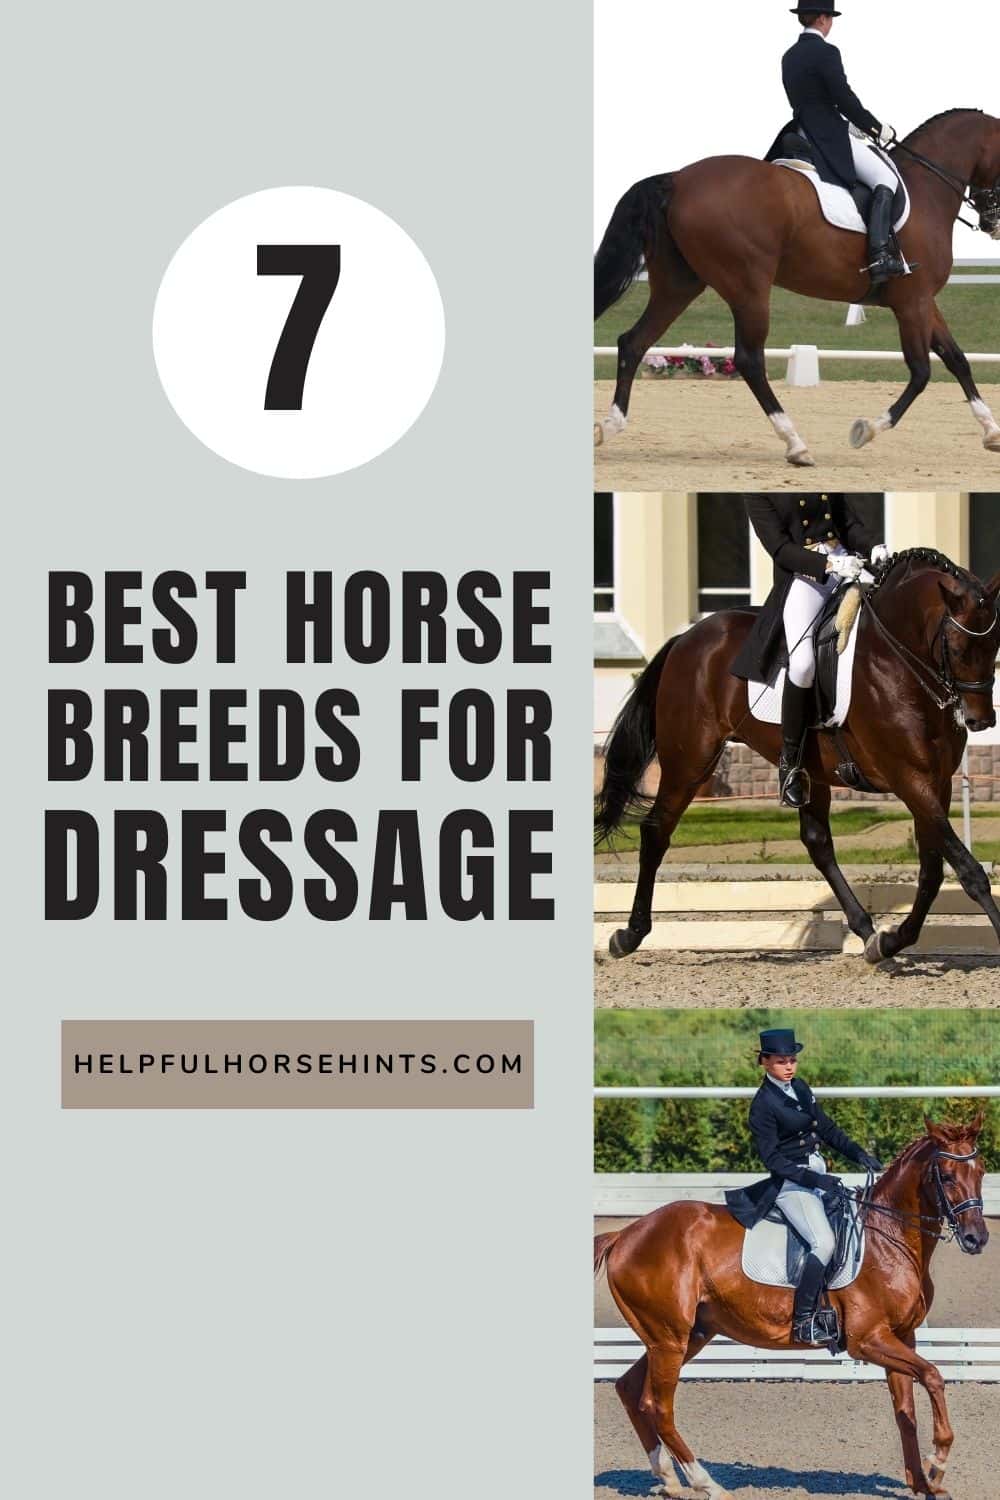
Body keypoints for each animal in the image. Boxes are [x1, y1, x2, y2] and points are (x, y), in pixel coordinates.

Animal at [594, 109, 1000, 466]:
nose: (992, 223)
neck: (927, 190)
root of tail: (677, 178)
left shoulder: (923, 300)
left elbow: (956, 359)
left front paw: (992, 432)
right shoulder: (912, 302)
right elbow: (921, 372)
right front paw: (865, 430)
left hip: (679, 283)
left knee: (634, 341)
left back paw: (609, 427)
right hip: (748, 286)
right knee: (749, 359)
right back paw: (796, 444)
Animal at [594, 548, 1000, 965]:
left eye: (996, 645)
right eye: (959, 648)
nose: (981, 720)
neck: (897, 661)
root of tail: (686, 638)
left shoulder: (937, 782)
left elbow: (932, 871)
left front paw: (890, 941)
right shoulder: (909, 779)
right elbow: (968, 870)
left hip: (808, 771)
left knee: (817, 842)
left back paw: (866, 930)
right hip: (689, 761)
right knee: (656, 830)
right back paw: (628, 935)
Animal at [594, 1115, 988, 1500]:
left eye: (982, 1172)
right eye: (947, 1176)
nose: (977, 1238)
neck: (888, 1236)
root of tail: (626, 1235)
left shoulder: (902, 1336)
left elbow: (906, 1412)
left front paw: (923, 1483)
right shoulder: (868, 1340)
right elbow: (934, 1376)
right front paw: (938, 1461)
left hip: (685, 1335)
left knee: (630, 1389)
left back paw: (669, 1480)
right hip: (669, 1340)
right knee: (659, 1407)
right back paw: (707, 1484)